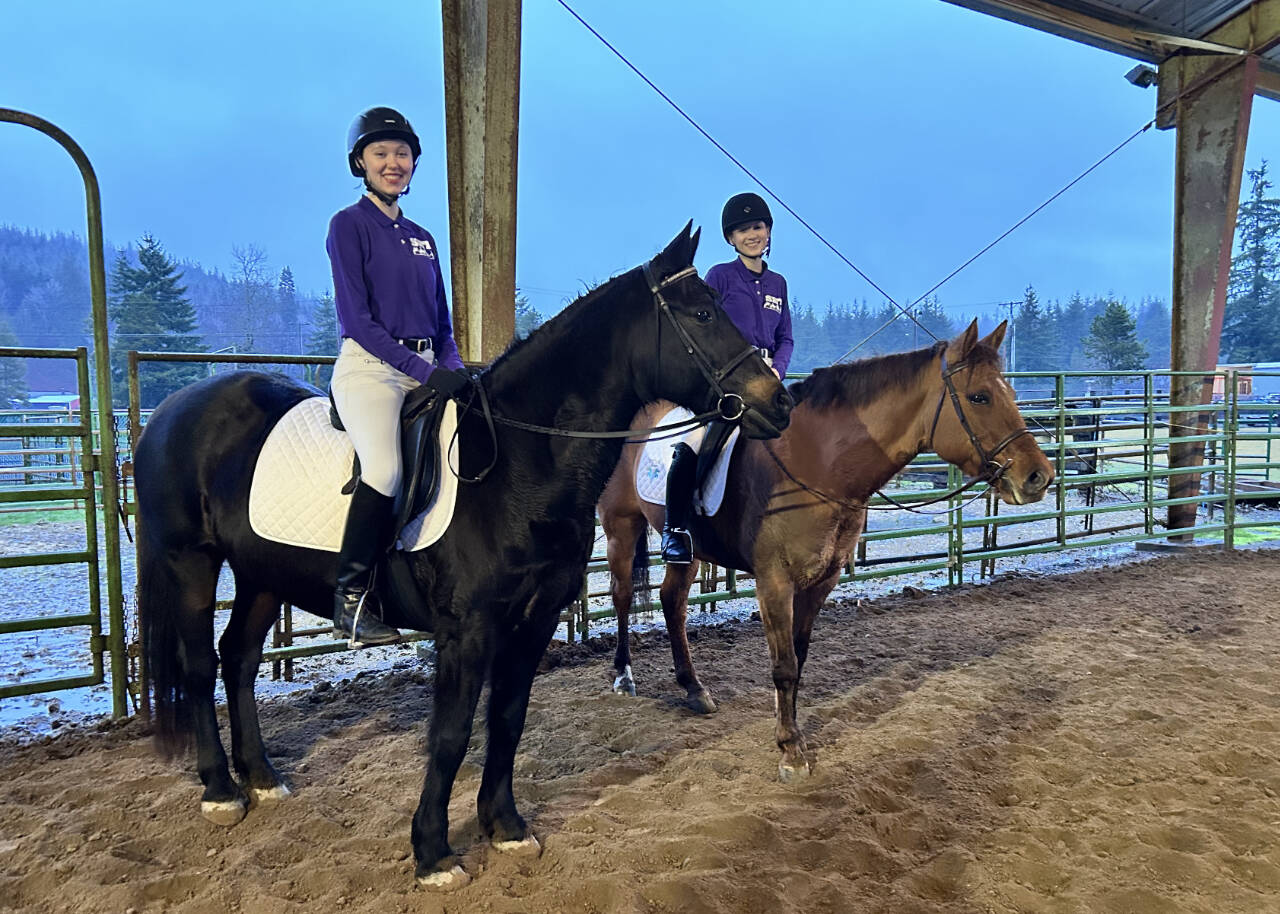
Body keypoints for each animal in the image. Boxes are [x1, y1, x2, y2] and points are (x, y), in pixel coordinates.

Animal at [132, 224, 788, 885]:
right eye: (704, 313)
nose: (778, 405)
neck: (519, 463)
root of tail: (172, 409)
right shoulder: (467, 630)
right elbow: (449, 735)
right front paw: (432, 853)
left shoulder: (534, 621)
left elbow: (508, 721)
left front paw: (506, 828)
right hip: (190, 564)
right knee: (201, 667)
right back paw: (221, 791)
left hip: (265, 575)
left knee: (238, 658)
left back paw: (263, 779)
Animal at [599, 318, 1049, 778]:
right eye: (979, 397)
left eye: (1010, 394)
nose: (1039, 477)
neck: (816, 463)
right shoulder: (774, 581)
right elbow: (783, 665)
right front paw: (790, 751)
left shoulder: (821, 581)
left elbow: (798, 659)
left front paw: (792, 734)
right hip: (620, 525)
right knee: (622, 596)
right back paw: (623, 677)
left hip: (688, 551)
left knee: (672, 601)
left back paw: (693, 689)